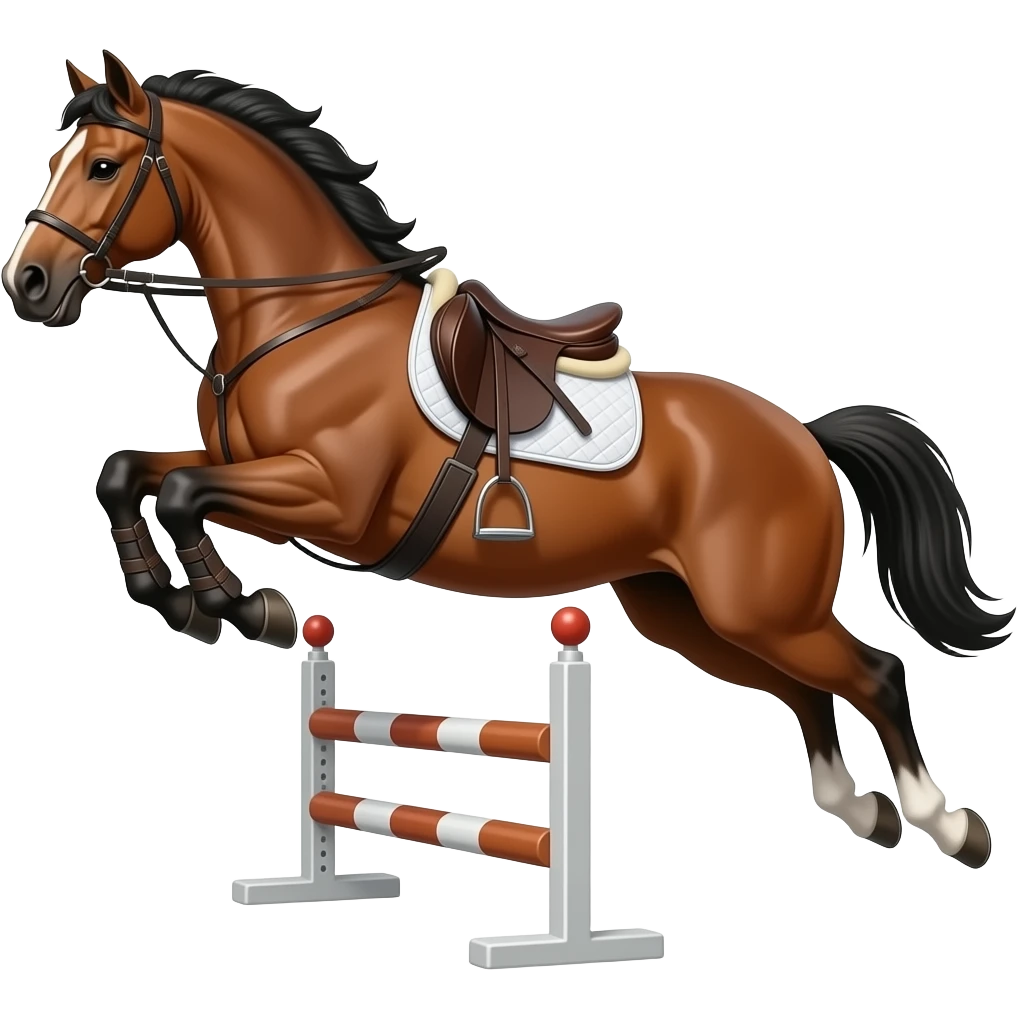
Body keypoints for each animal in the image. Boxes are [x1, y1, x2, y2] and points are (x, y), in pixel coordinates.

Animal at [4, 52, 1012, 871]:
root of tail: (802, 434)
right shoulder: (248, 468)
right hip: (690, 613)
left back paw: (945, 822)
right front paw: (181, 599)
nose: (29, 284)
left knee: (872, 673)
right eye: (60, 161)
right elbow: (128, 472)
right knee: (806, 688)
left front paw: (245, 607)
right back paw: (858, 807)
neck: (305, 319)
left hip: (758, 606)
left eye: (102, 166)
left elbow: (180, 490)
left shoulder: (330, 499)